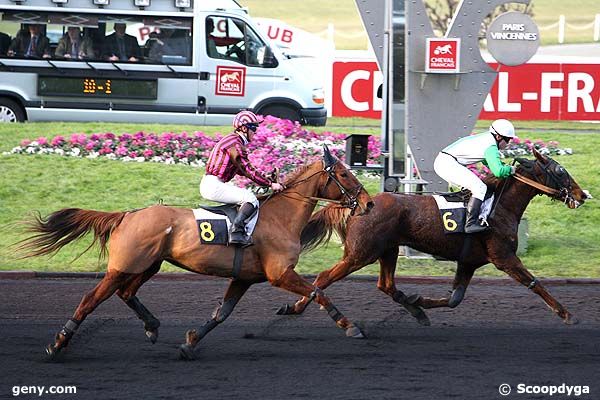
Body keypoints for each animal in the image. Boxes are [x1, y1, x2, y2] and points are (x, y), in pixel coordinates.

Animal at [18, 148, 372, 360]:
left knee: (126, 292)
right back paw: (58, 343)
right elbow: (317, 292)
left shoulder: (244, 278)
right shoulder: (279, 273)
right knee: (92, 298)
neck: (280, 216)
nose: (368, 203)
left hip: (149, 264)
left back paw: (152, 325)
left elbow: (221, 314)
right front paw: (351, 326)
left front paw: (189, 343)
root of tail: (126, 215)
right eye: (344, 174)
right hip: (124, 266)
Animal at [282, 148, 592, 326]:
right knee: (324, 277)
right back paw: (297, 308)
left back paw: (415, 310)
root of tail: (359, 203)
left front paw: (420, 301)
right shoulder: (504, 257)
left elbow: (454, 298)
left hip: (388, 250)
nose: (583, 195)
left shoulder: (469, 261)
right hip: (361, 253)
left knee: (386, 284)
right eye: (560, 171)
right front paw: (566, 314)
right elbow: (534, 283)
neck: (499, 206)